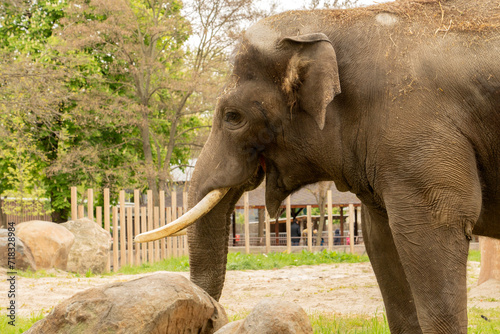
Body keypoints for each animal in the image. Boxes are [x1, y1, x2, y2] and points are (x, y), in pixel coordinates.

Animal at [136, 1, 500, 332]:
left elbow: (436, 228)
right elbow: (381, 240)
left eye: (233, 117)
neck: (333, 22)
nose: (210, 317)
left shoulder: (418, 132)